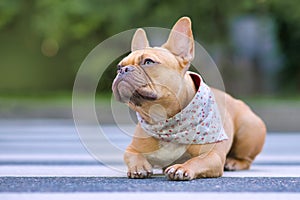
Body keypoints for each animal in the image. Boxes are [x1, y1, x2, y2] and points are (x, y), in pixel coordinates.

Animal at [112, 16, 264, 180]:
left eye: (148, 62)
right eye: (119, 66)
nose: (123, 70)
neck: (165, 121)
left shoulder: (212, 156)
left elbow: (196, 161)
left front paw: (181, 168)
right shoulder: (132, 148)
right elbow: (132, 155)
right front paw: (139, 167)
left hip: (247, 128)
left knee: (247, 159)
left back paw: (234, 162)